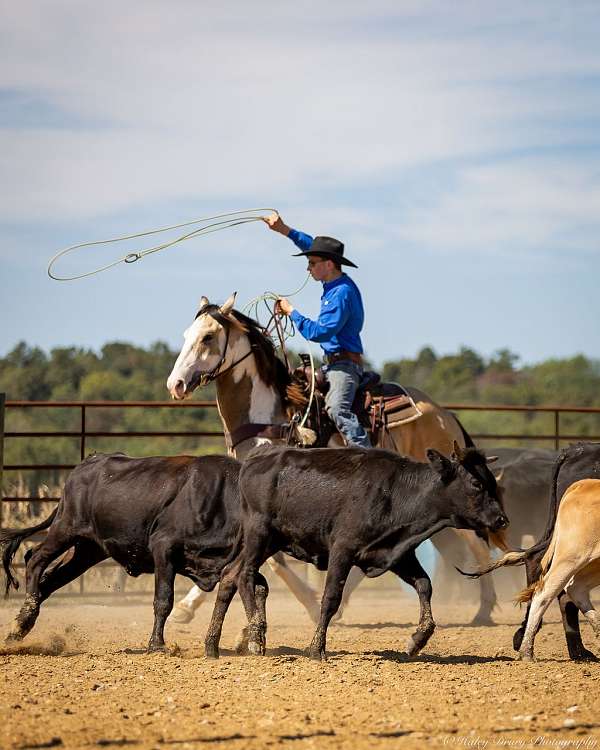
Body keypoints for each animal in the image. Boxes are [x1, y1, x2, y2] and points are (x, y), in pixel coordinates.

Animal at [2, 452, 241, 652]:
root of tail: (87, 462)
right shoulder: (163, 548)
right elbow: (164, 599)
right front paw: (157, 644)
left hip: (88, 549)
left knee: (50, 579)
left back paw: (19, 629)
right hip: (65, 528)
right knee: (35, 558)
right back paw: (24, 619)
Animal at [166, 294, 504, 628]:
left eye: (208, 337)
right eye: (186, 335)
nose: (176, 384)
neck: (268, 420)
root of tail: (445, 416)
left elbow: (272, 559)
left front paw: (308, 599)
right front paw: (187, 606)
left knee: (477, 545)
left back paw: (484, 610)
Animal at [206, 444, 506, 660]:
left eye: (493, 482)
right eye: (477, 484)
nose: (502, 520)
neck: (396, 492)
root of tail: (255, 459)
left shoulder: (397, 554)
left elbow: (425, 585)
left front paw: (417, 640)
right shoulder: (342, 549)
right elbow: (331, 598)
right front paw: (317, 648)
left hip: (270, 541)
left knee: (230, 576)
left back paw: (212, 645)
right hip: (259, 534)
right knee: (245, 575)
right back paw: (256, 640)